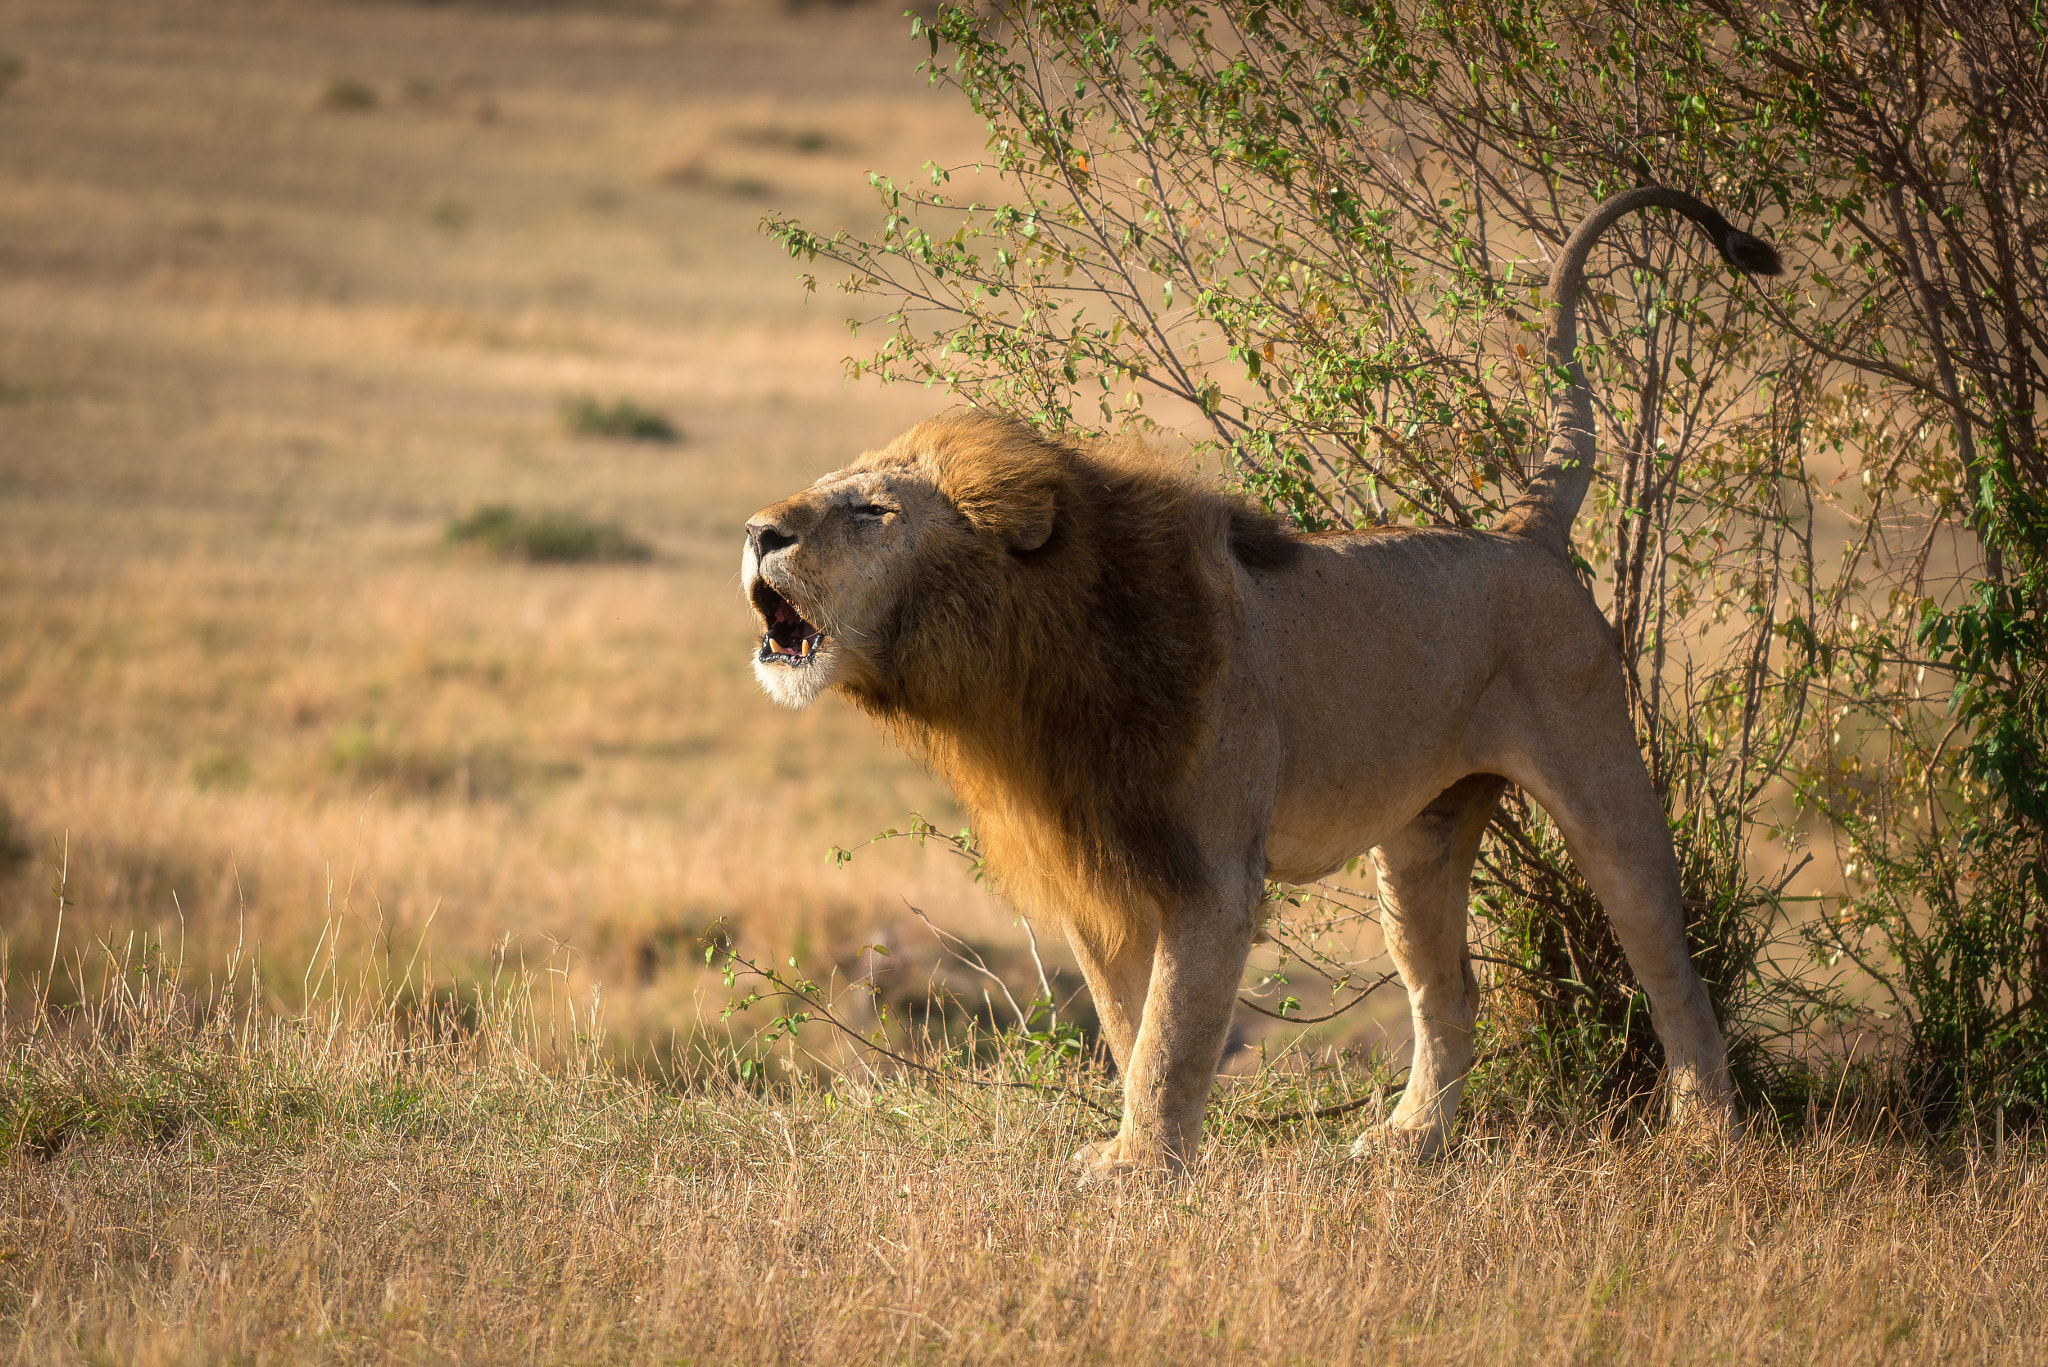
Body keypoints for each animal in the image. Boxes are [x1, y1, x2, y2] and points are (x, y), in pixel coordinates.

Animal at [743, 187, 1782, 1177]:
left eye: (872, 512)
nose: (757, 531)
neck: (1026, 663)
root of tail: (1524, 530)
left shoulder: (1211, 877)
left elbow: (1169, 1035)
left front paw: (1141, 1170)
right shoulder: (1104, 867)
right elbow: (1129, 1023)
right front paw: (1131, 1151)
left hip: (1600, 778)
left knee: (1667, 961)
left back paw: (1705, 1140)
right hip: (1421, 839)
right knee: (1449, 988)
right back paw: (1411, 1142)